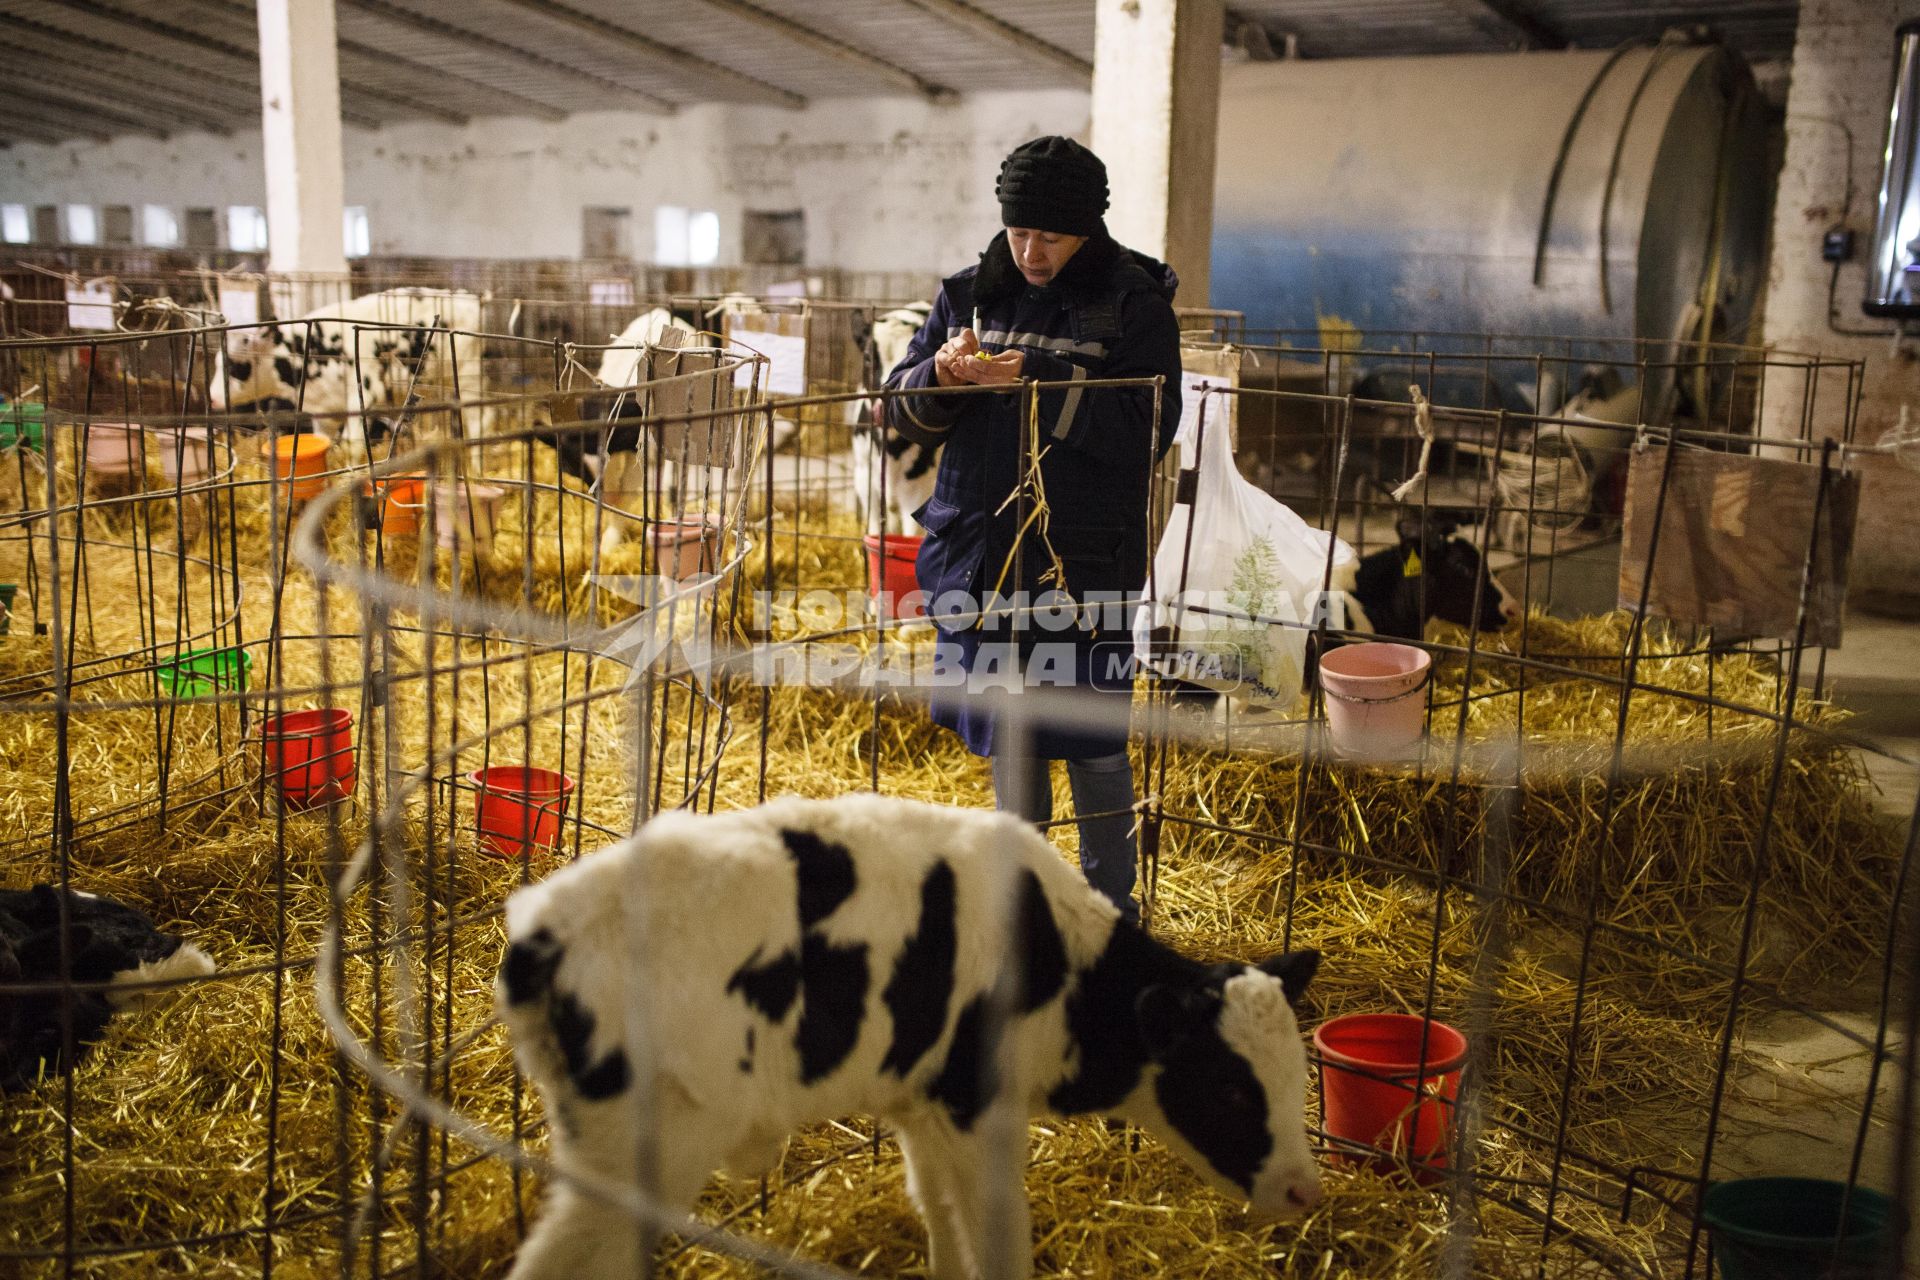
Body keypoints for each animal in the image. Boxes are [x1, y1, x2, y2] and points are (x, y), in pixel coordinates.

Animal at [210, 287, 487, 462]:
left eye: (234, 365)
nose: (212, 398)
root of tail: (469, 298)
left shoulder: (366, 390)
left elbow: (353, 443)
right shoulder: (323, 412)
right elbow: (324, 443)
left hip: (468, 375)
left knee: (478, 422)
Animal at [495, 794, 1320, 1274]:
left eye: (1300, 1077)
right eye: (1229, 1088)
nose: (1304, 1190)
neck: (1065, 967)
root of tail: (544, 933)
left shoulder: (921, 1108)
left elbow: (943, 1225)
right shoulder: (976, 1112)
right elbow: (997, 1241)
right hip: (647, 1146)